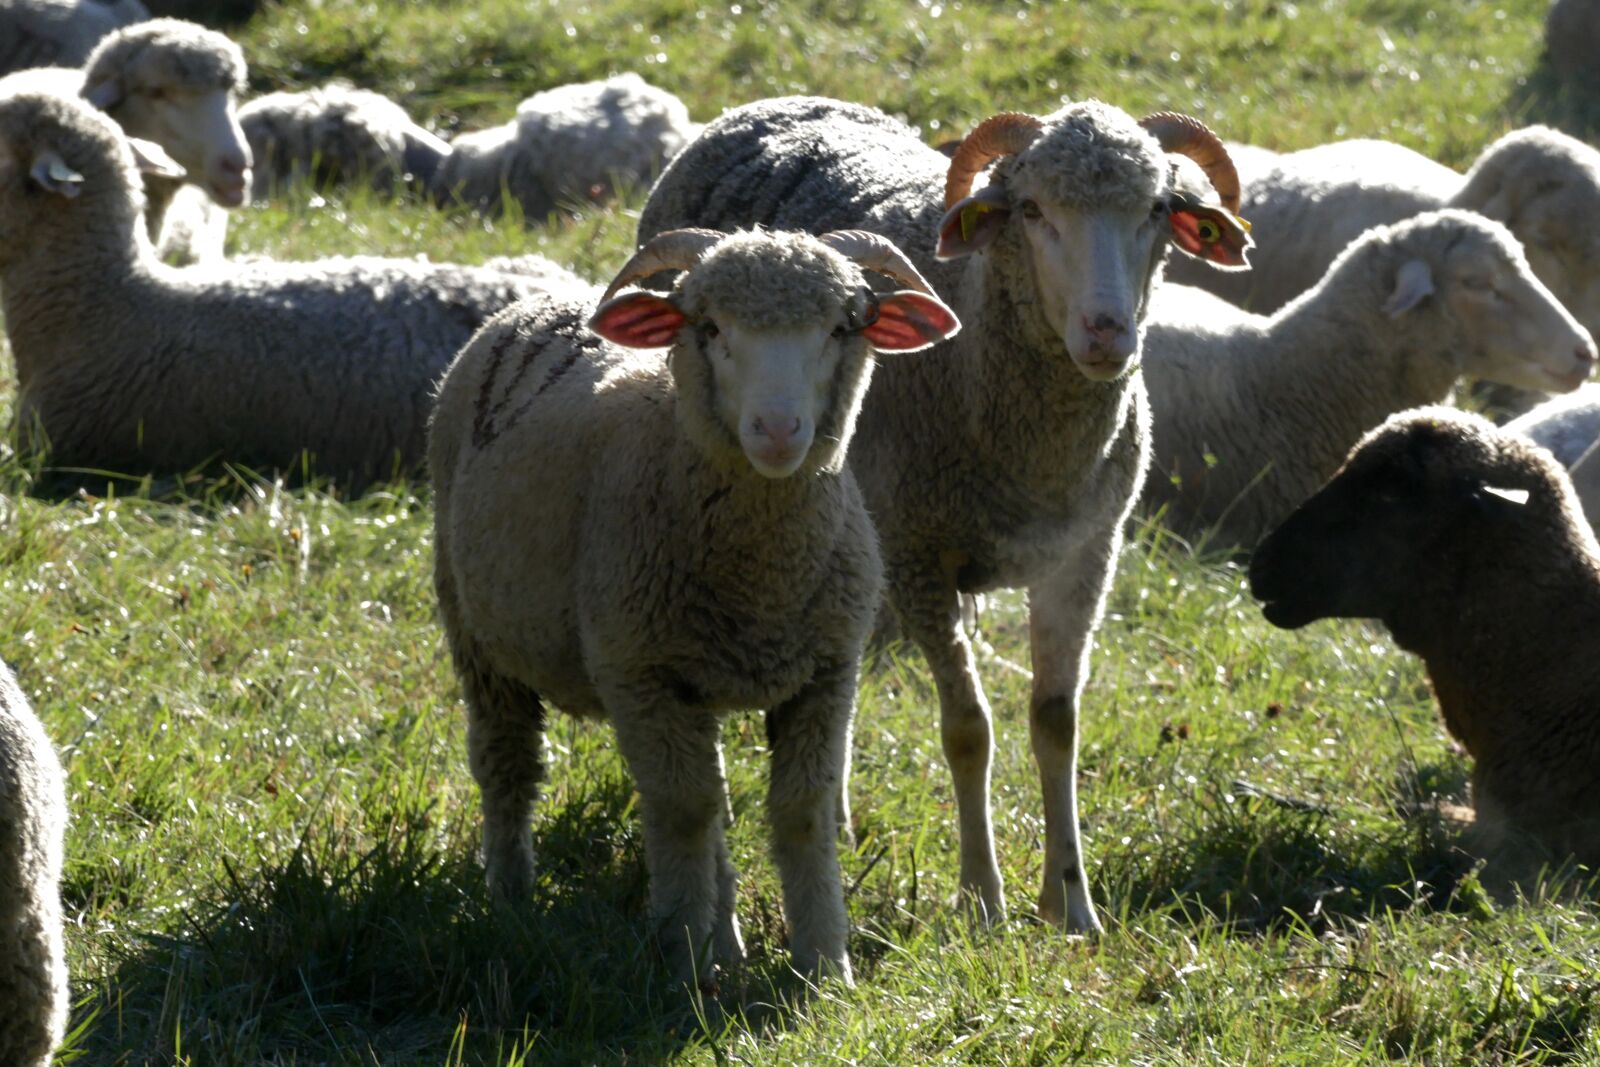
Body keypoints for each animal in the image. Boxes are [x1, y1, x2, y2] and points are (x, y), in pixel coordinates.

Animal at [430, 226, 961, 986]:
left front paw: (824, 965)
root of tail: (536, 304)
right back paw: (511, 897)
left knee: (715, 802)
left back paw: (727, 942)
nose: (777, 429)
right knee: (508, 764)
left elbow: (800, 809)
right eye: (709, 328)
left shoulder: (828, 671)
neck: (760, 575)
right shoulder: (639, 673)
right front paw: (682, 959)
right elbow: (681, 812)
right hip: (476, 631)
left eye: (841, 327)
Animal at [637, 95, 1254, 932]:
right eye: (1031, 209)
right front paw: (982, 898)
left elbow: (1055, 720)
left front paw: (1071, 903)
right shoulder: (920, 559)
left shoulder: (1086, 552)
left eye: (1158, 207)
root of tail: (767, 105)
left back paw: (837, 819)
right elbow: (968, 730)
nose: (1107, 332)